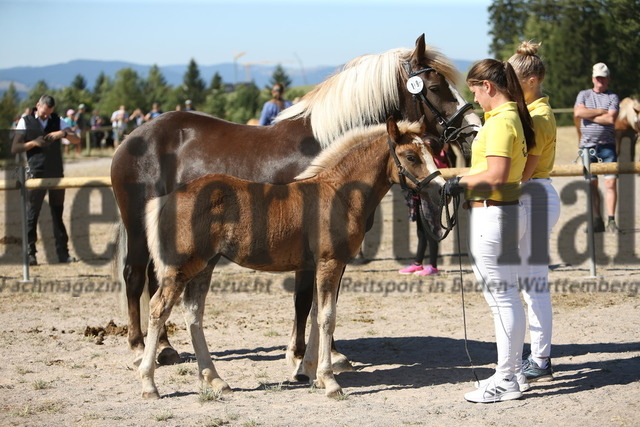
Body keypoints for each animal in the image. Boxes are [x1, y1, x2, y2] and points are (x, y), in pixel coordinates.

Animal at [141, 117, 444, 398]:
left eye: (431, 151)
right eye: (411, 156)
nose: (442, 187)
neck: (338, 193)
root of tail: (168, 198)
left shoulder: (320, 266)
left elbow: (315, 314)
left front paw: (311, 373)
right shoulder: (330, 263)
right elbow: (327, 317)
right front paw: (330, 382)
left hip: (206, 264)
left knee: (193, 313)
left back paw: (215, 379)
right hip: (180, 267)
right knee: (158, 308)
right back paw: (149, 382)